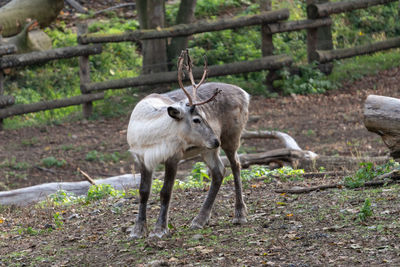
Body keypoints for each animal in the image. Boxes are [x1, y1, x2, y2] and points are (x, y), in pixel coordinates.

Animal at [126, 49, 248, 239]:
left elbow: (165, 192)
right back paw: (200, 219)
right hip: (207, 150)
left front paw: (160, 229)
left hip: (232, 137)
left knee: (236, 165)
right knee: (219, 171)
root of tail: (244, 94)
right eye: (197, 119)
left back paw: (240, 214)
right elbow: (143, 192)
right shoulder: (141, 158)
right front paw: (138, 229)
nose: (216, 140)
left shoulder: (173, 156)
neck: (150, 138)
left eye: (205, 116)